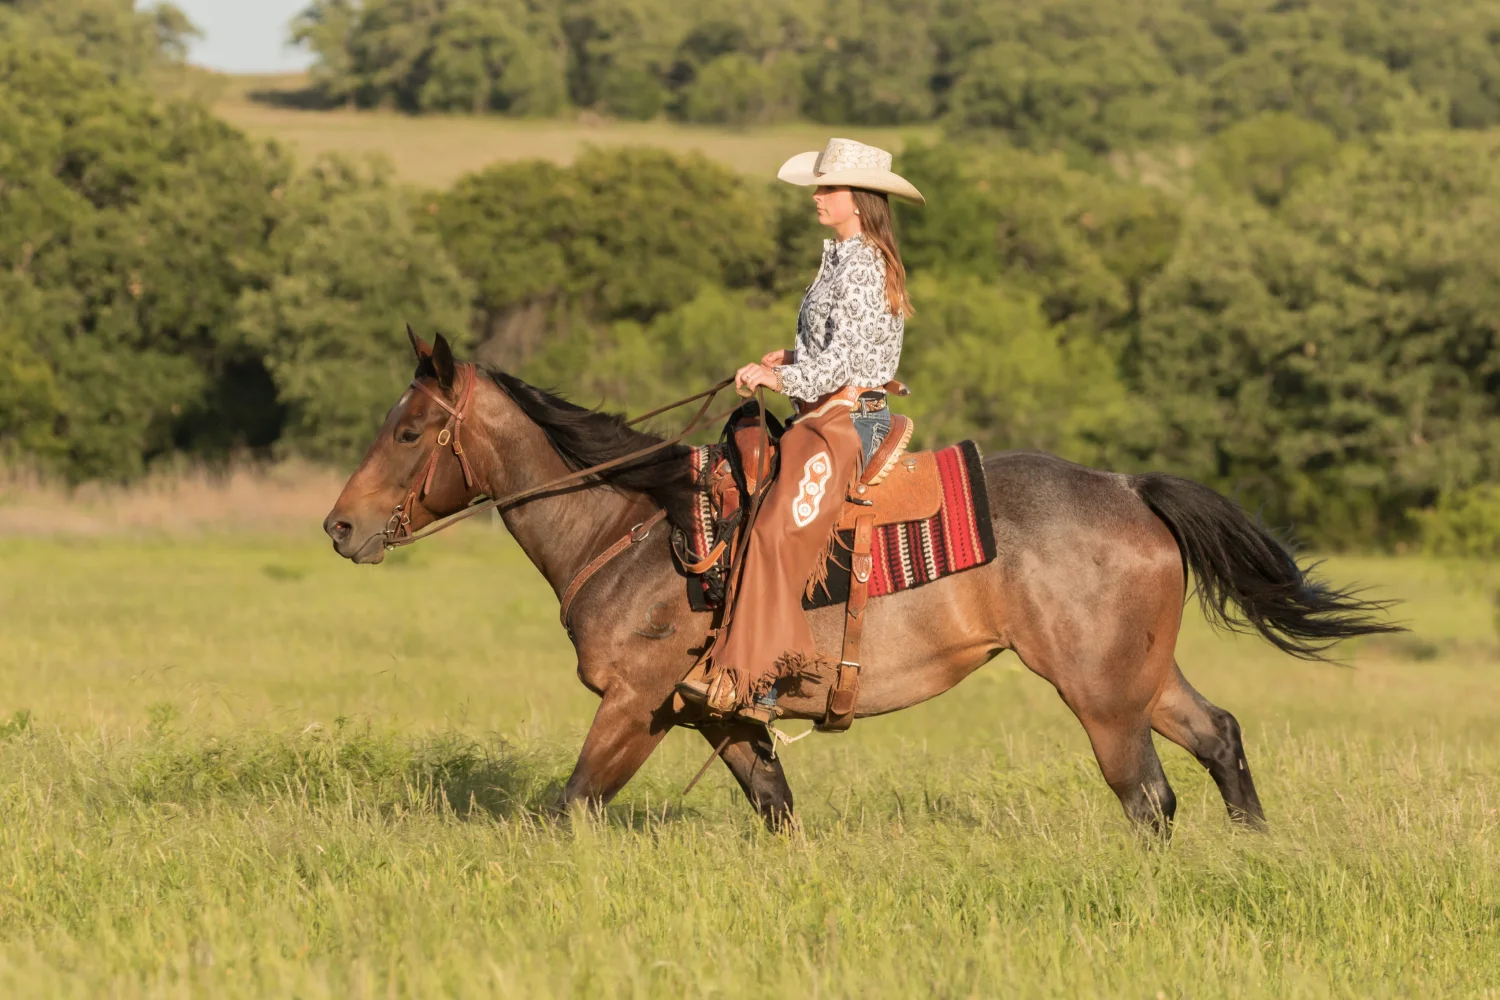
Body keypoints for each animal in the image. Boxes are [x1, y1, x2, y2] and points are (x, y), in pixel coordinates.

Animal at [322, 332, 1398, 833]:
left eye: (410, 431)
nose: (339, 526)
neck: (633, 528)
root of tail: (1130, 487)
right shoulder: (721, 714)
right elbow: (776, 807)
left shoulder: (636, 703)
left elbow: (573, 803)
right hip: (1140, 675)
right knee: (1219, 739)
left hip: (1098, 694)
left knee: (1147, 796)